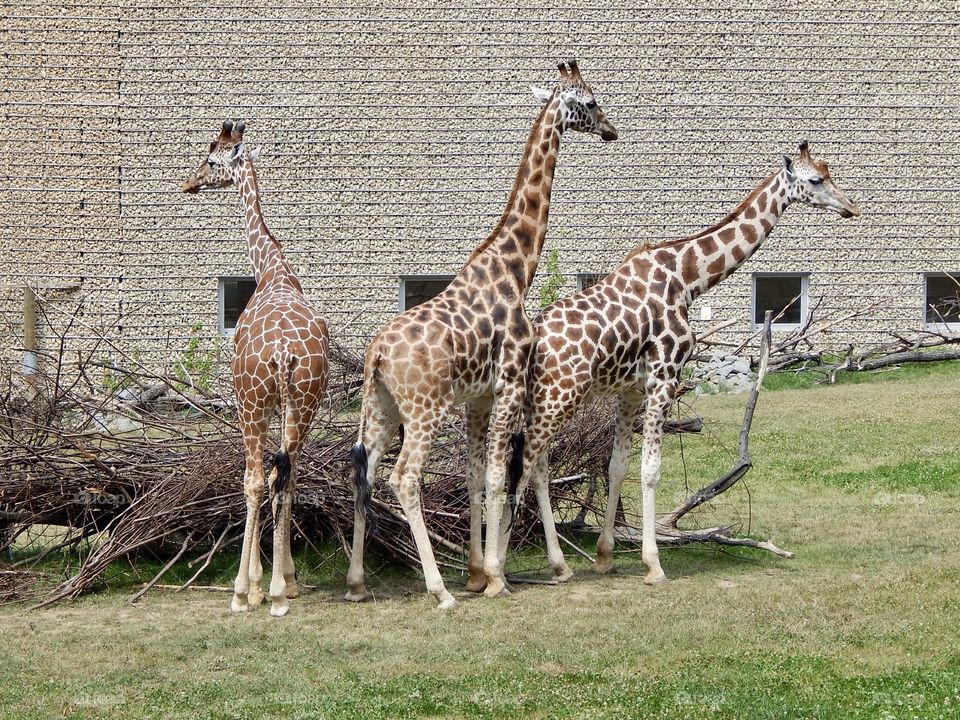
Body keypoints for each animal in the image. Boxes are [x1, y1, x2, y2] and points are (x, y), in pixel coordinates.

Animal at [182, 120, 329, 617]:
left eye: (211, 160)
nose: (188, 183)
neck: (272, 269)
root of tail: (283, 351)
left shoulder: (253, 404)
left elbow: (254, 481)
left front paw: (251, 587)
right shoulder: (290, 407)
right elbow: (289, 476)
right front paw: (282, 580)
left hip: (251, 403)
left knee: (255, 479)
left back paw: (248, 592)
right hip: (303, 403)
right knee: (287, 476)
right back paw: (284, 590)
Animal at [345, 59, 618, 609]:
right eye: (591, 101)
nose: (611, 130)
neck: (516, 269)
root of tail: (378, 352)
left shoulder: (478, 397)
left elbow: (475, 477)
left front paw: (476, 572)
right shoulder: (509, 384)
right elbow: (495, 476)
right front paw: (493, 576)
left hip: (381, 407)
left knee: (366, 471)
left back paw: (358, 583)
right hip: (424, 408)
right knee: (404, 478)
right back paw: (437, 590)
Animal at [495, 141, 861, 586]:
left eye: (829, 171)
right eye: (815, 179)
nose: (851, 207)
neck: (688, 279)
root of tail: (528, 341)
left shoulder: (631, 389)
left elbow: (618, 466)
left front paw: (605, 556)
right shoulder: (664, 375)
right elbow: (650, 469)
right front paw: (653, 564)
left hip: (543, 396)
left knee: (537, 465)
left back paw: (558, 565)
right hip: (561, 393)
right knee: (523, 464)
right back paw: (496, 571)